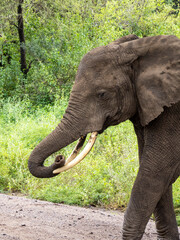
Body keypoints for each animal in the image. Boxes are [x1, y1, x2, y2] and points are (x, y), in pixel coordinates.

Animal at [28, 34, 180, 239]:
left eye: (102, 94)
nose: (59, 158)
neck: (138, 47)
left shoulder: (173, 111)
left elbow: (154, 169)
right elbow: (156, 170)